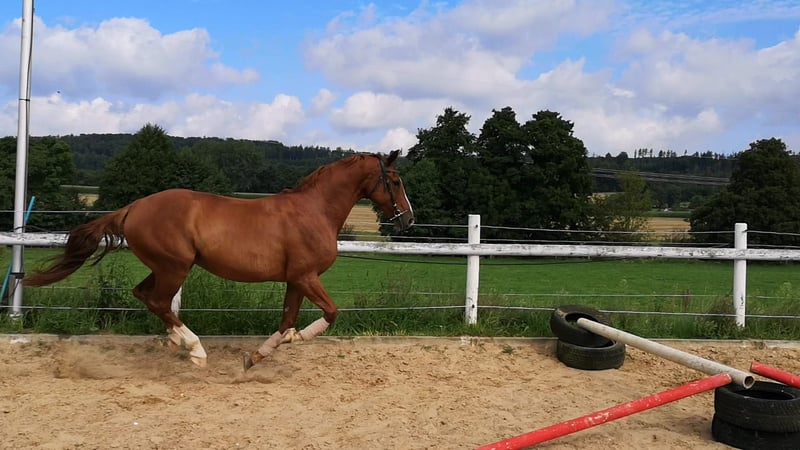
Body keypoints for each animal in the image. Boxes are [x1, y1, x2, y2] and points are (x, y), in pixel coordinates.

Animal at [25, 150, 414, 370]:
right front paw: (294, 340)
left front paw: (257, 357)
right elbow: (329, 313)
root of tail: (133, 207)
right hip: (175, 267)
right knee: (158, 301)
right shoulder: (307, 277)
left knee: (145, 296)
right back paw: (195, 349)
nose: (408, 220)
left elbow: (286, 320)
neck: (314, 211)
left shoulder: (295, 279)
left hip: (165, 267)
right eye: (394, 180)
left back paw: (178, 341)